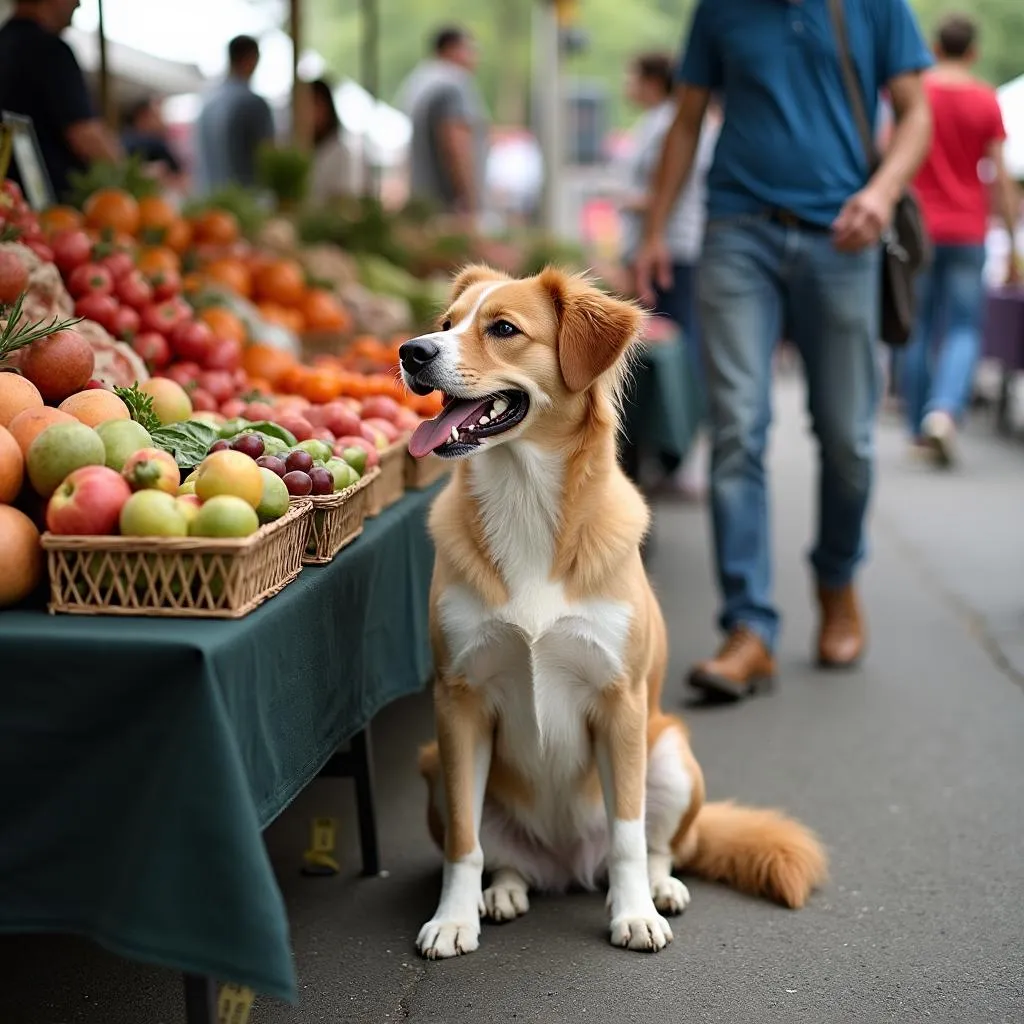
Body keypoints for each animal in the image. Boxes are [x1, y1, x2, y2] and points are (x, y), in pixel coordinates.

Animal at [399, 264, 823, 958]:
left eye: (503, 329)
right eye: (445, 324)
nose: (410, 353)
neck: (524, 497)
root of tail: (567, 864)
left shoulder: (620, 701)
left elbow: (628, 833)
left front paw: (635, 913)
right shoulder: (457, 703)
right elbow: (465, 841)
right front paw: (454, 919)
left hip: (670, 753)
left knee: (659, 845)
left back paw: (660, 887)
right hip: (435, 764)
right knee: (504, 856)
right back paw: (505, 890)